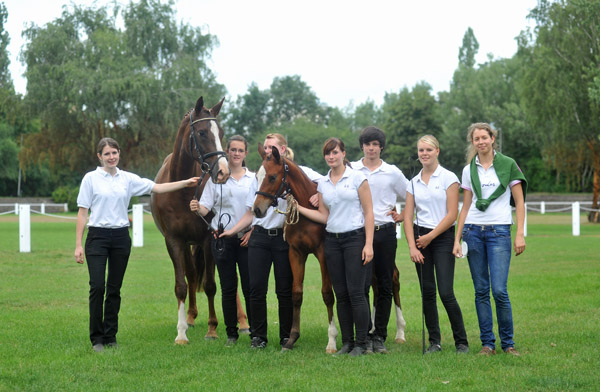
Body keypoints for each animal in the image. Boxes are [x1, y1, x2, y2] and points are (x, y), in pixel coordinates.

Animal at [151, 95, 231, 344]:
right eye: (203, 132)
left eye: (221, 132)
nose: (223, 172)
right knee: (191, 274)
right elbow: (181, 285)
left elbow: (210, 285)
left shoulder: (208, 239)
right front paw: (181, 333)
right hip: (186, 245)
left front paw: (212, 329)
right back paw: (190, 317)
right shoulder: (174, 241)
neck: (183, 192)